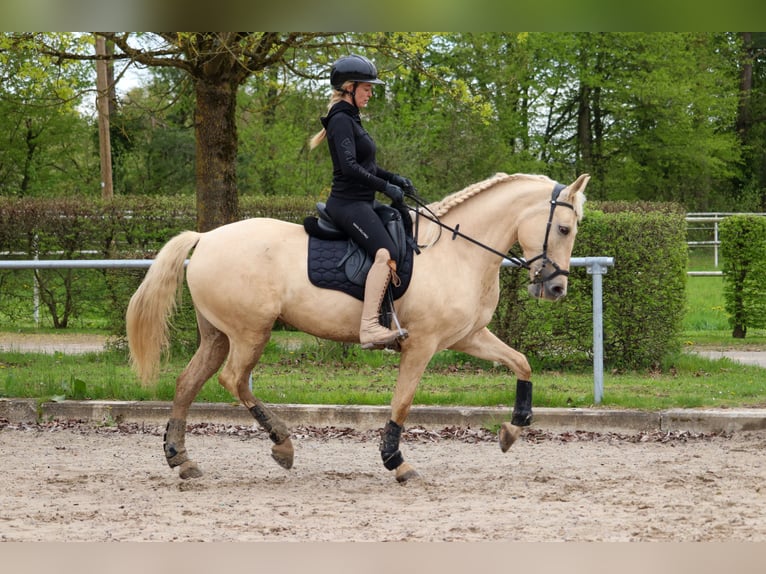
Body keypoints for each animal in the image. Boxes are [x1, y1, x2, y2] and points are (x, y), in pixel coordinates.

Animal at [126, 172, 589, 483]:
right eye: (564, 228)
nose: (557, 288)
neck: (458, 251)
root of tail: (206, 237)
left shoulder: (467, 337)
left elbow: (521, 362)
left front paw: (513, 428)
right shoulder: (422, 344)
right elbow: (402, 402)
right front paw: (396, 463)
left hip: (218, 335)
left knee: (188, 383)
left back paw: (181, 458)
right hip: (250, 332)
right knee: (233, 380)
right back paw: (282, 444)